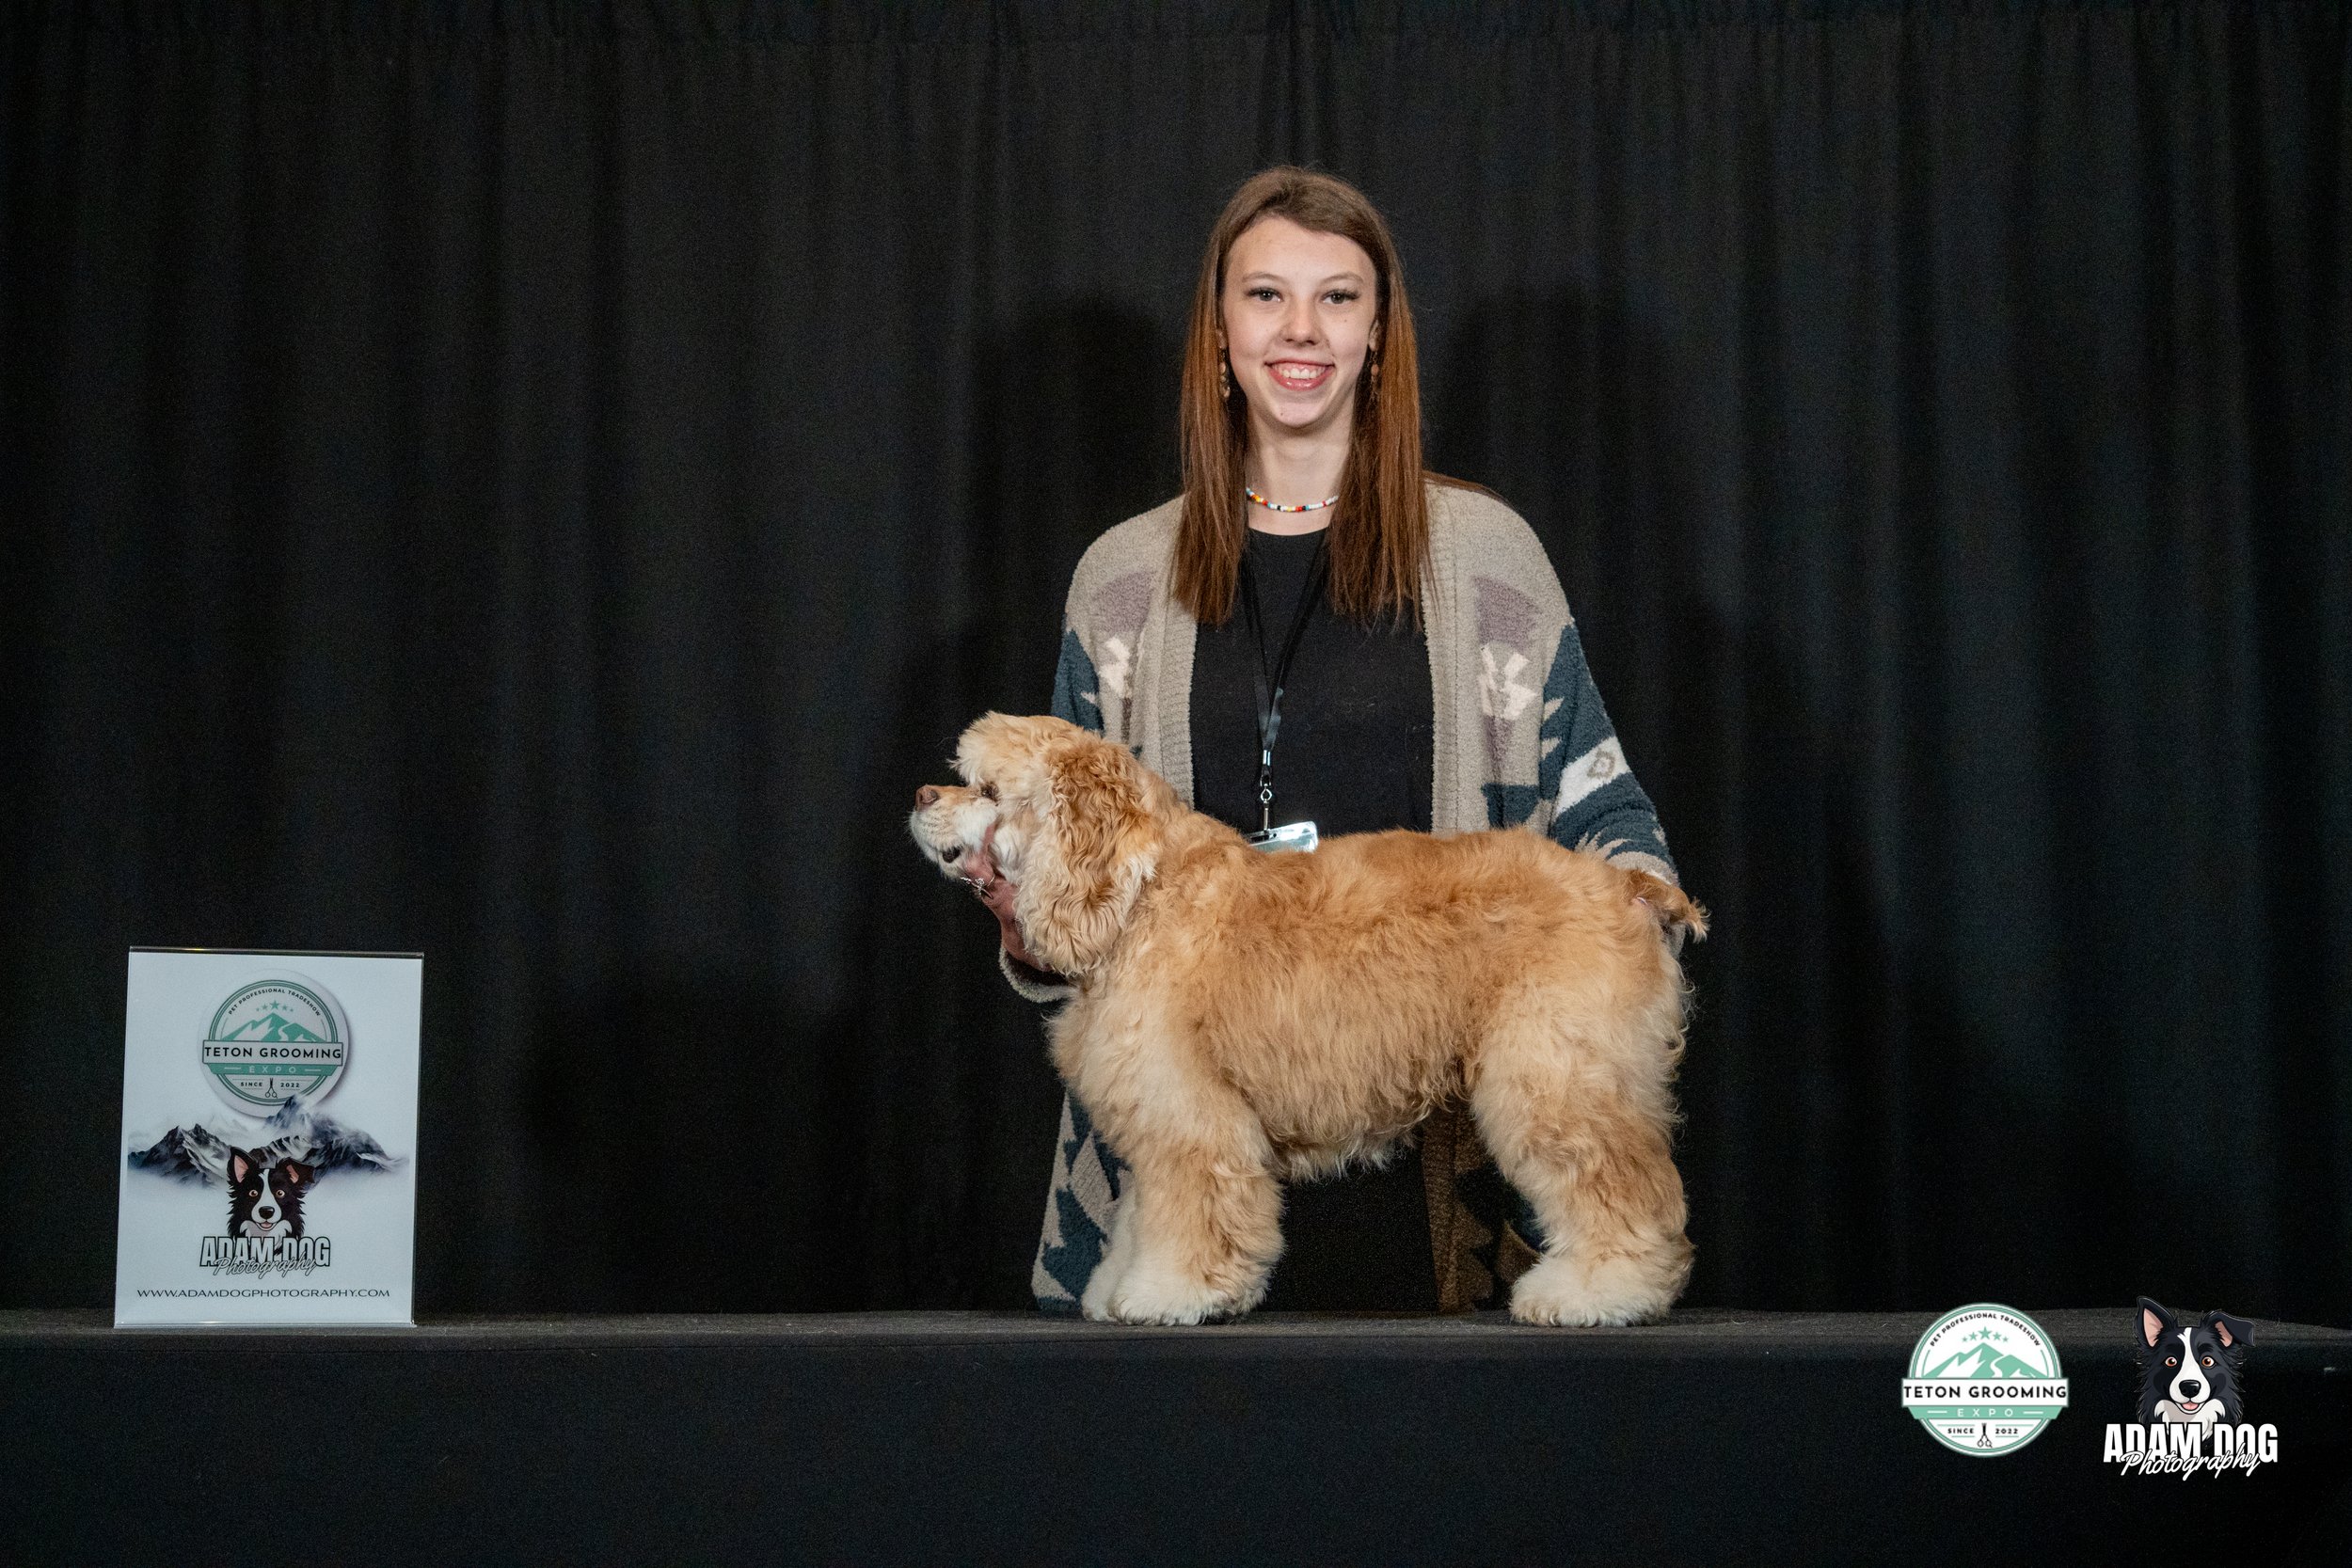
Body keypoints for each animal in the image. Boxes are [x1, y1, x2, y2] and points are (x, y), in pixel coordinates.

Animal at [910, 712, 1706, 1327]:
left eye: (987, 791)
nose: (921, 792)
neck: (1138, 900)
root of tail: (1626, 884)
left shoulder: (1193, 1119)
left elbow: (1196, 1215)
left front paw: (1171, 1293)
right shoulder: (1157, 1117)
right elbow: (1141, 1215)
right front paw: (1116, 1287)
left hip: (1557, 1082)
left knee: (1622, 1191)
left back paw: (1596, 1292)